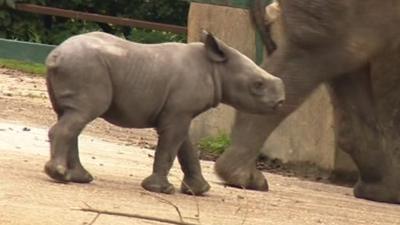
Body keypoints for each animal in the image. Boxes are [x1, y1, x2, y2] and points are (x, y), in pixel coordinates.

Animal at [43, 30, 284, 194]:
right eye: (258, 85)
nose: (281, 101)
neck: (216, 68)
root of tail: (54, 55)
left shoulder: (180, 112)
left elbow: (186, 148)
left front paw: (200, 190)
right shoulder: (178, 114)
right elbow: (169, 148)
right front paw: (161, 190)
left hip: (79, 67)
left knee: (71, 115)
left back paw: (79, 178)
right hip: (86, 69)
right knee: (82, 115)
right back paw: (60, 175)